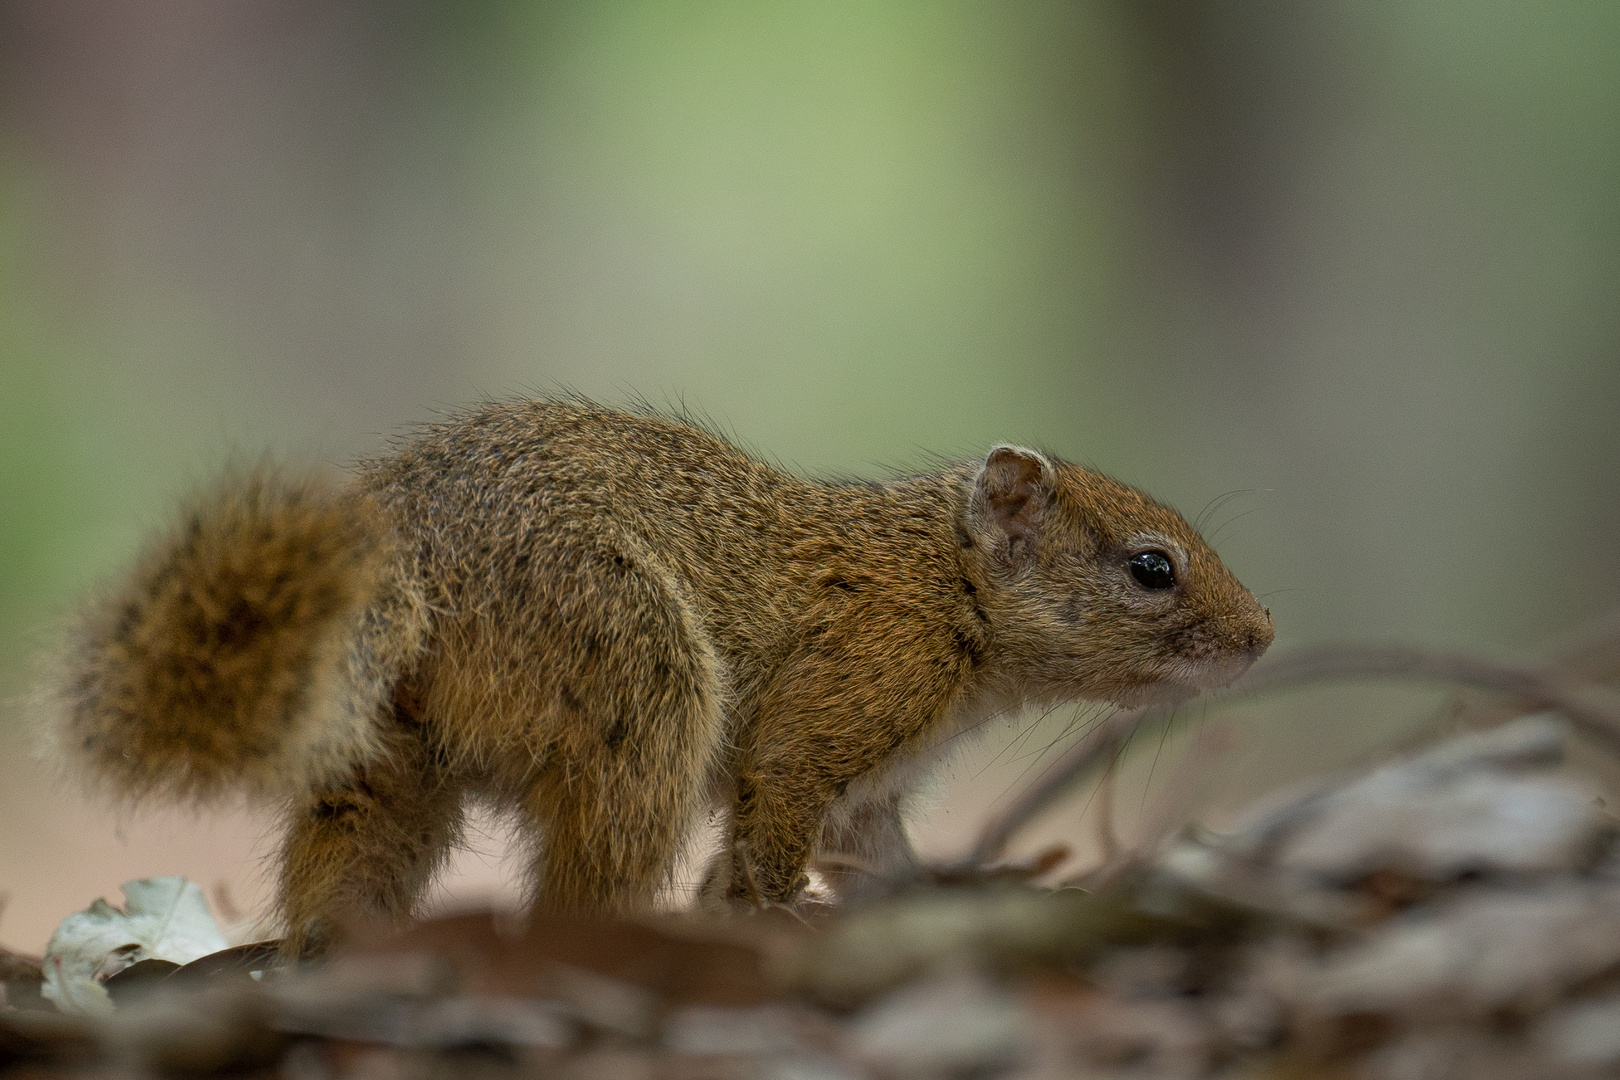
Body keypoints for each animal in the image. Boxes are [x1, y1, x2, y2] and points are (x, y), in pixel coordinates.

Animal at [41, 399, 1276, 952]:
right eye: (1152, 567)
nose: (1263, 634)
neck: (942, 583)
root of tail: (408, 550)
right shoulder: (838, 706)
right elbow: (777, 813)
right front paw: (763, 909)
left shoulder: (869, 795)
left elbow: (876, 856)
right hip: (637, 684)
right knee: (585, 883)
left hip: (389, 766)